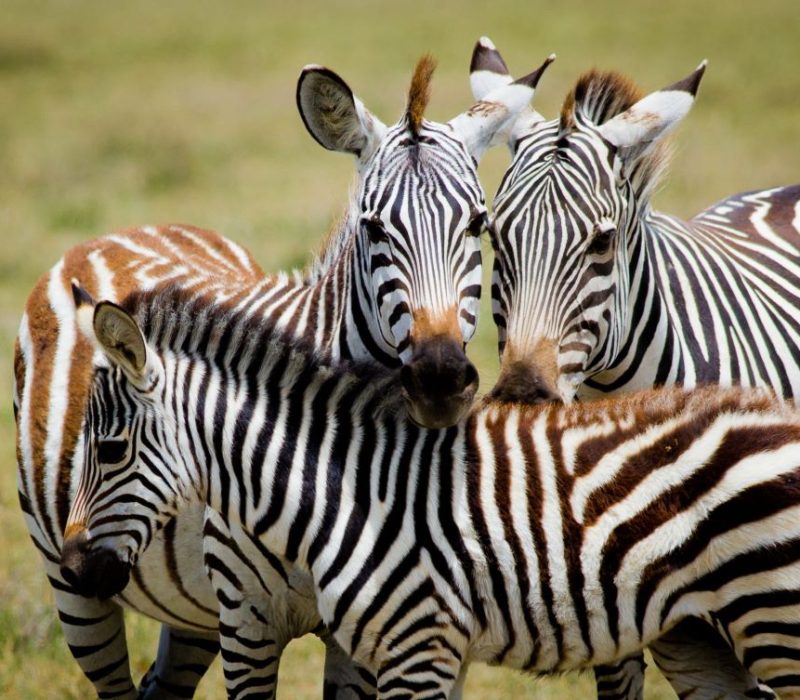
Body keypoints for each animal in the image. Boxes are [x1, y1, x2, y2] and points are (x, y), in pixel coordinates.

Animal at [18, 54, 545, 698]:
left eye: (477, 225)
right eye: (372, 229)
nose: (439, 379)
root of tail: (124, 231)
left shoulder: (374, 623)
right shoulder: (248, 619)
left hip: (192, 614)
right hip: (76, 582)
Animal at [62, 281, 800, 699]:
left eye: (110, 449)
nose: (74, 571)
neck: (349, 492)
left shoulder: (420, 645)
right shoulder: (429, 651)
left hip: (776, 618)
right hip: (699, 634)